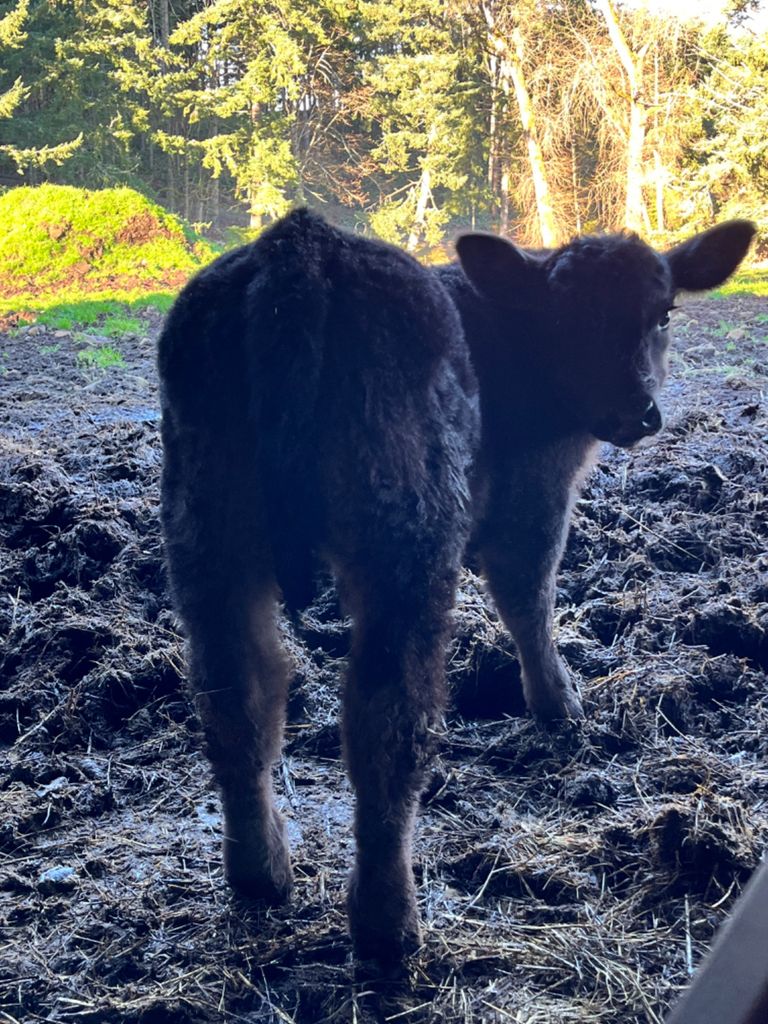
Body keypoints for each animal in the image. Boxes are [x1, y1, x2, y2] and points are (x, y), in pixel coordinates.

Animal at [157, 209, 754, 964]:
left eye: (663, 312)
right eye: (570, 317)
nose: (638, 410)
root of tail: (301, 247)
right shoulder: (536, 491)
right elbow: (529, 596)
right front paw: (559, 705)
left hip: (207, 533)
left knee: (237, 694)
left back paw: (261, 872)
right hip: (407, 540)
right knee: (387, 717)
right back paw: (389, 922)